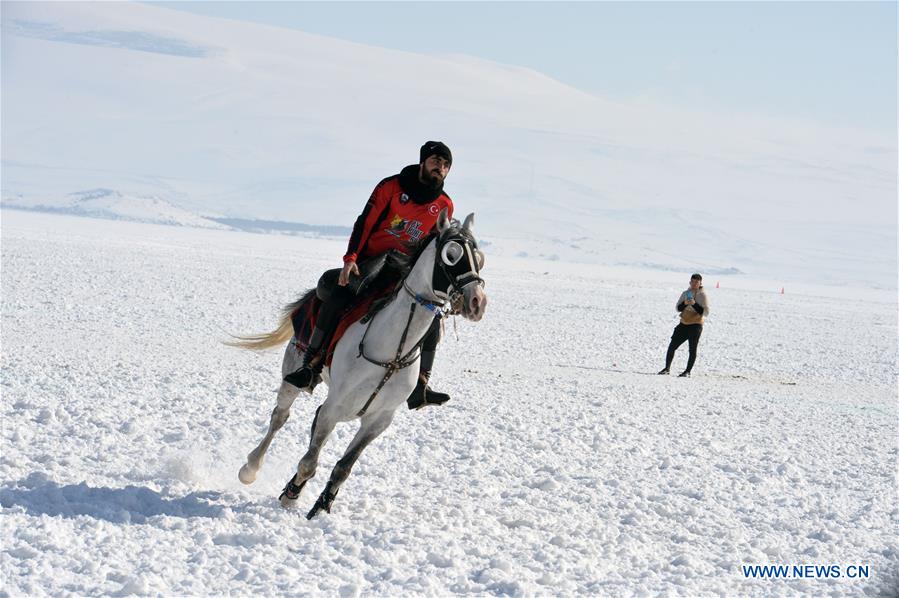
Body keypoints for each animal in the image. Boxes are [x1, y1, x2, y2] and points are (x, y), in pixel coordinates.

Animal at [228, 209, 487, 519]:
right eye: (451, 254)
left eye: (479, 258)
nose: (477, 301)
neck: (390, 352)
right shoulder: (334, 406)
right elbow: (309, 461)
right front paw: (291, 494)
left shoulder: (379, 419)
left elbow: (343, 467)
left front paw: (322, 503)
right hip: (293, 370)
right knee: (280, 416)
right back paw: (250, 468)